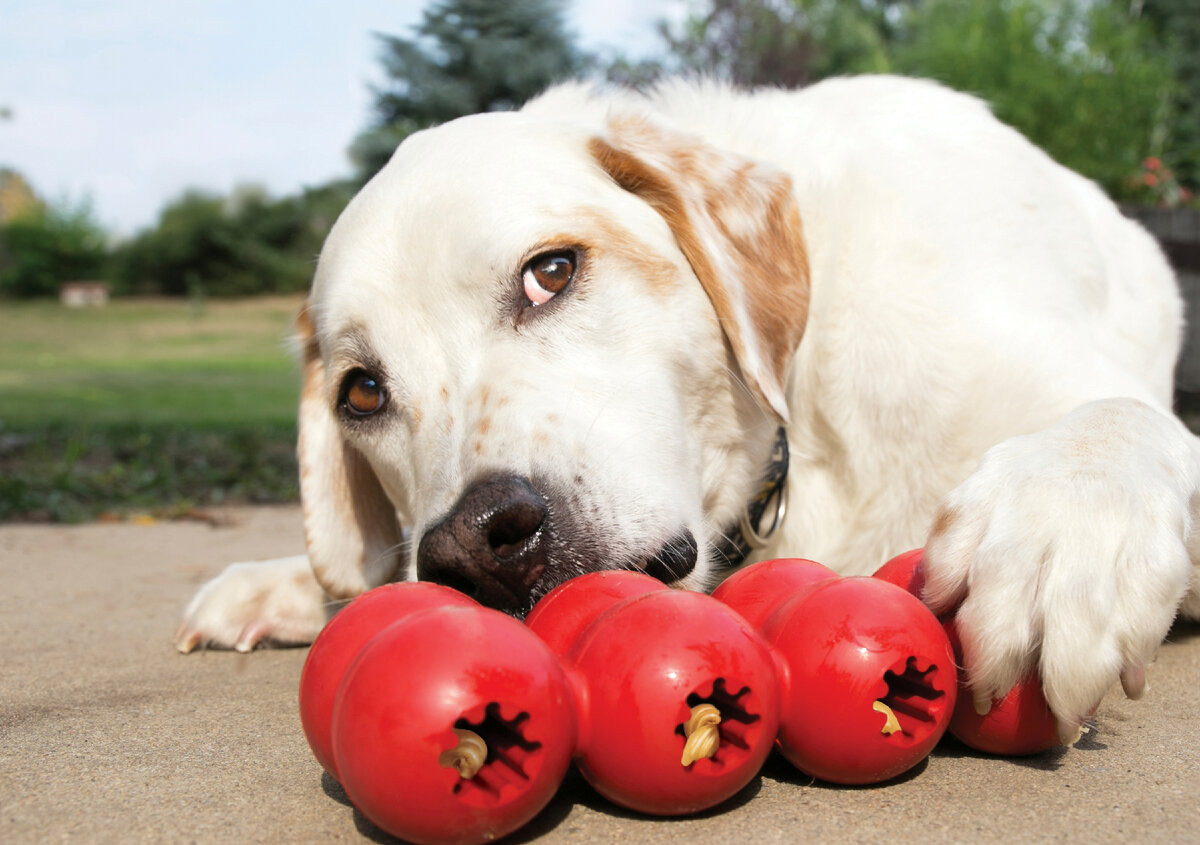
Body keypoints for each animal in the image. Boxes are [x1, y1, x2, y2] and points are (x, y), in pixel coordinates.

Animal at [175, 74, 1200, 744]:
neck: (800, 431)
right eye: (363, 391)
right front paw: (295, 582)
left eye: (552, 271)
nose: (469, 544)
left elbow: (1120, 422)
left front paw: (1064, 530)